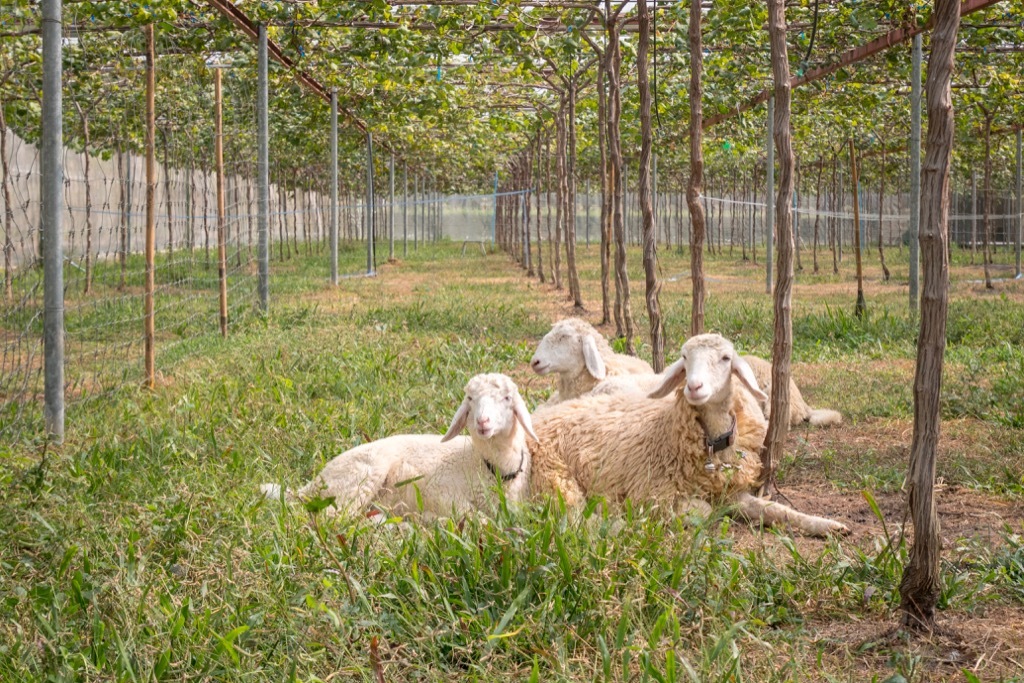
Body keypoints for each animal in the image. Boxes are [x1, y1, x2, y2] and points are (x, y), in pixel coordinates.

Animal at [258, 374, 536, 518]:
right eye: (470, 398)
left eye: (507, 398)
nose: (482, 422)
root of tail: (312, 484)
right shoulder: (441, 493)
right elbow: (476, 518)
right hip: (362, 476)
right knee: (334, 520)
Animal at [528, 333, 847, 536]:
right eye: (684, 357)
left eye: (726, 358)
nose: (694, 386)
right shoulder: (654, 492)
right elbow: (703, 511)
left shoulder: (733, 493)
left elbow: (778, 511)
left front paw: (827, 525)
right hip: (556, 479)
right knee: (573, 521)